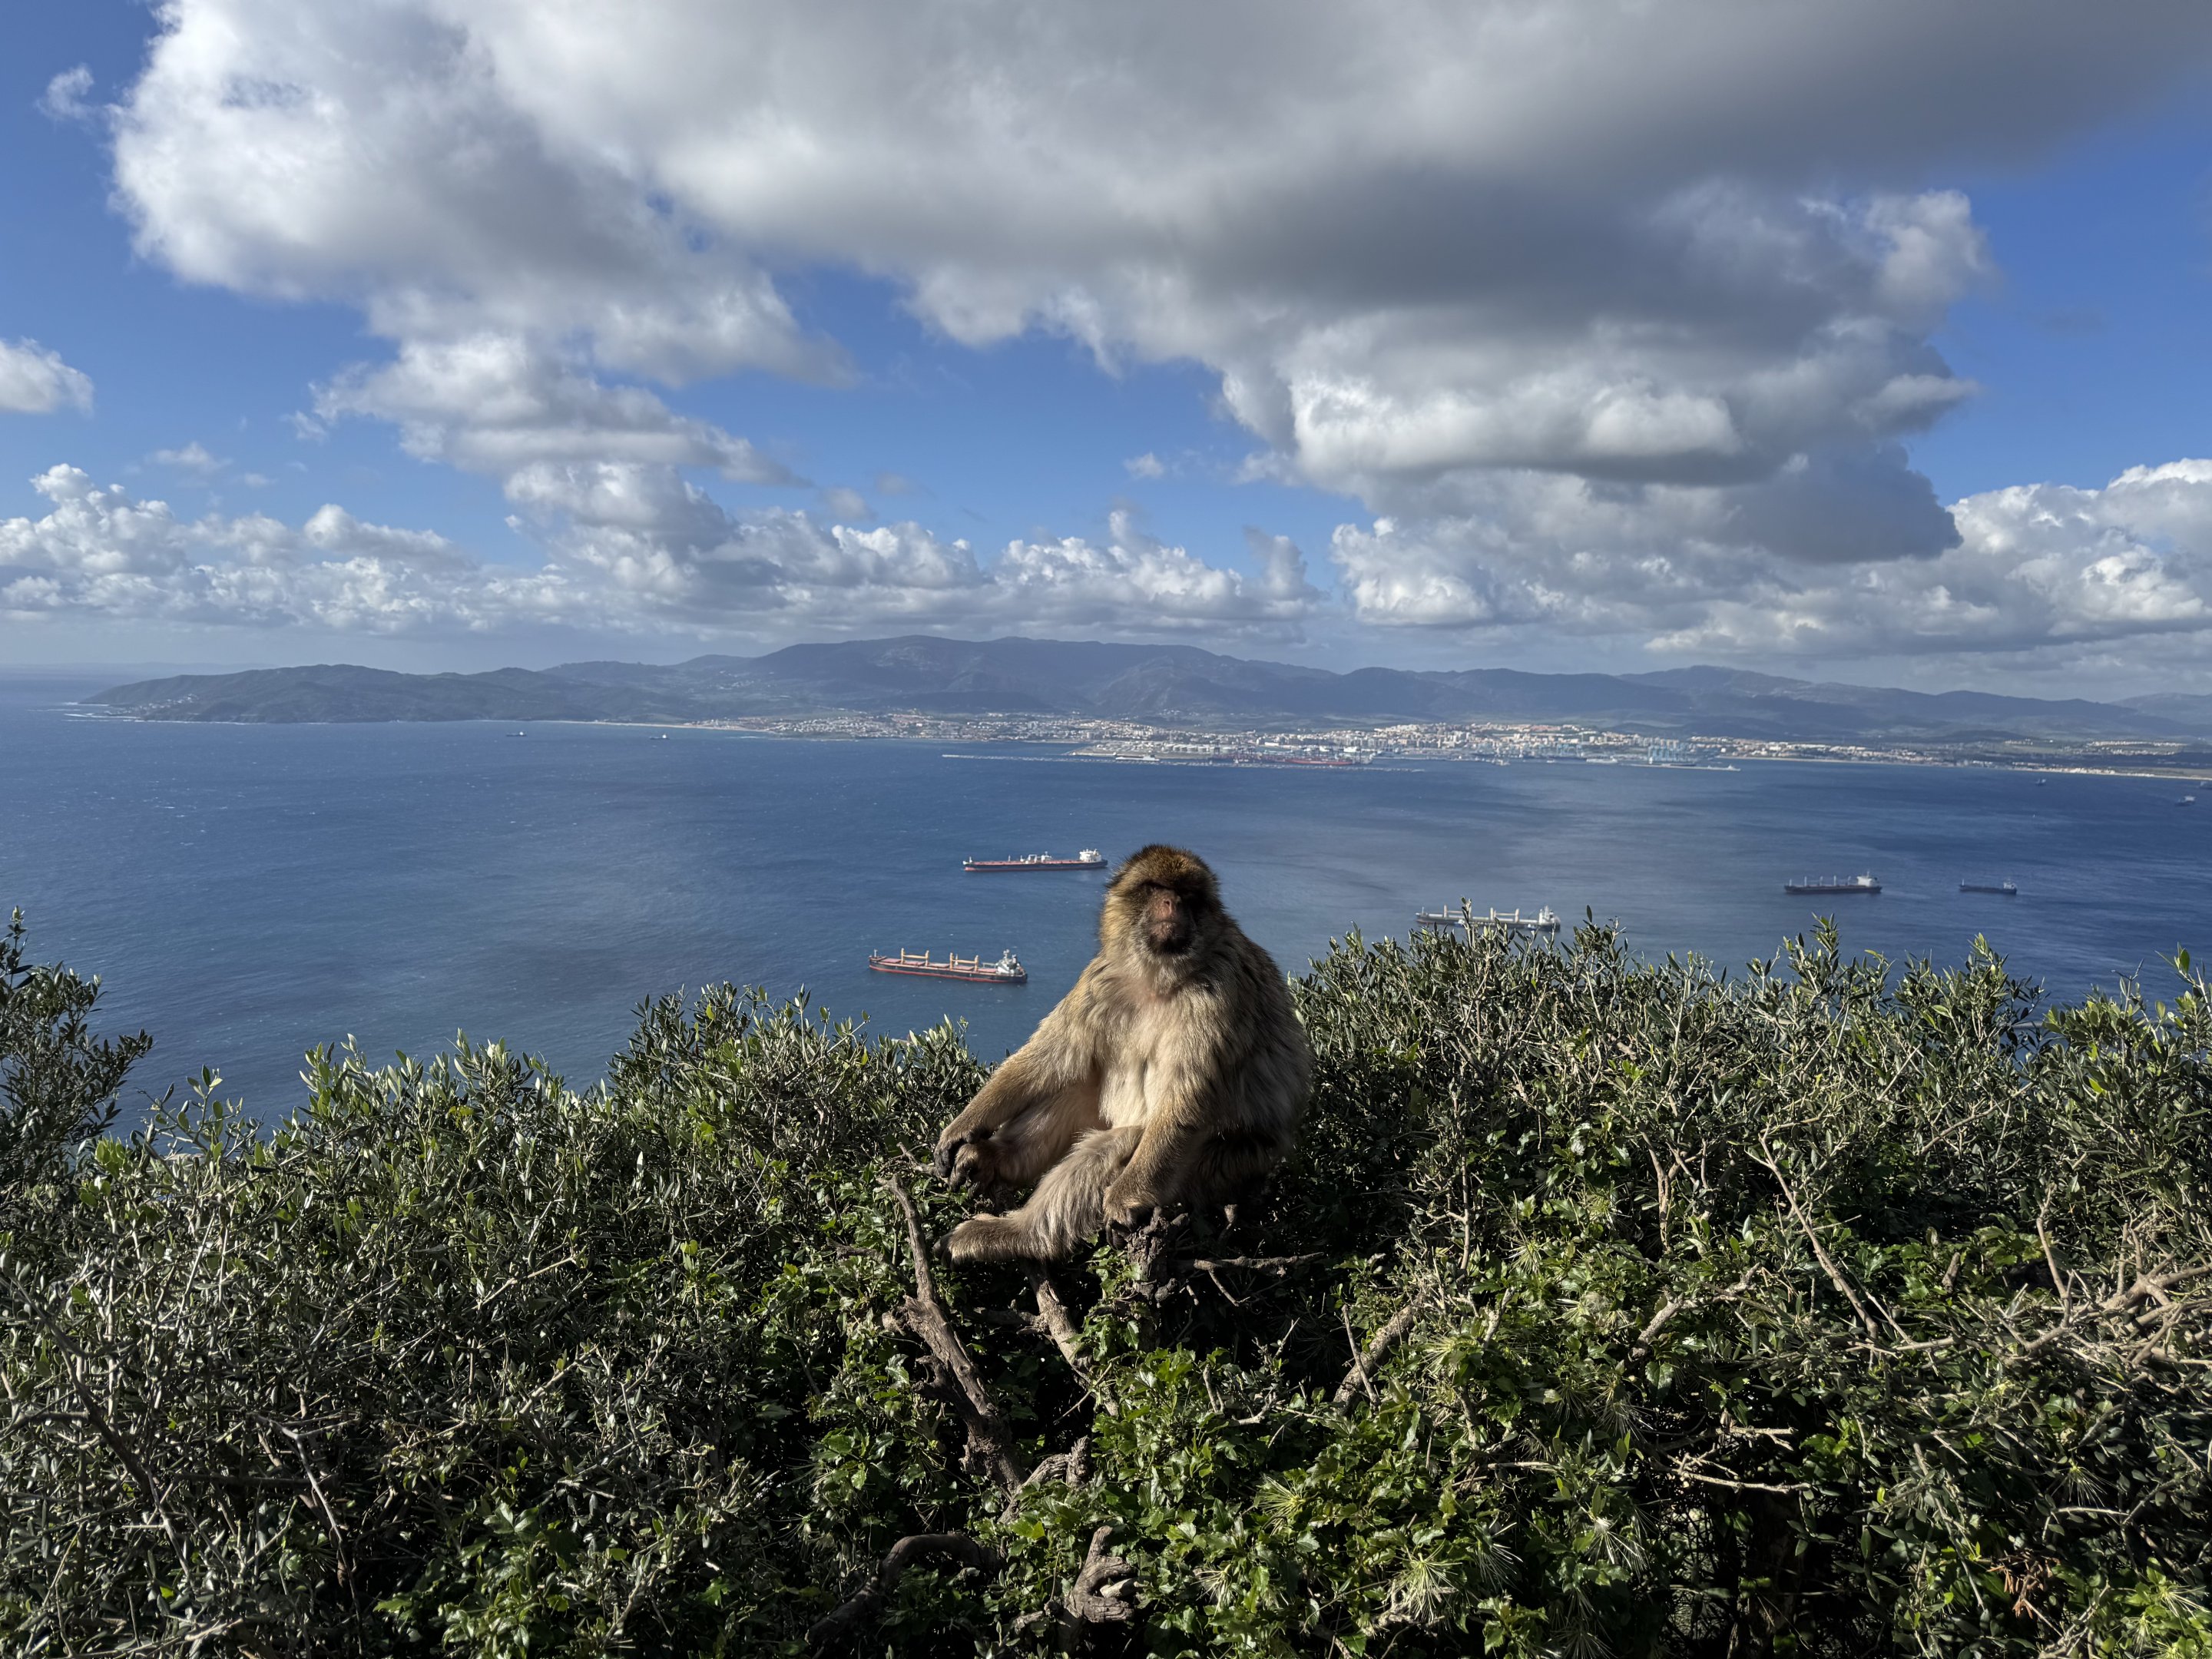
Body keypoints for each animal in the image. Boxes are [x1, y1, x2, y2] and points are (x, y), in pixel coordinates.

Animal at [932, 844, 1310, 1262]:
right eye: (1154, 887)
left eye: (1187, 894)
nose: (1172, 902)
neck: (1160, 976)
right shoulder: (1099, 979)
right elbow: (1052, 1055)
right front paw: (965, 1125)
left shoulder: (1219, 993)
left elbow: (1187, 1098)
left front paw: (1126, 1202)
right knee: (1075, 1089)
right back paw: (996, 1158)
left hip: (1225, 1166)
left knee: (1121, 1142)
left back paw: (1020, 1235)